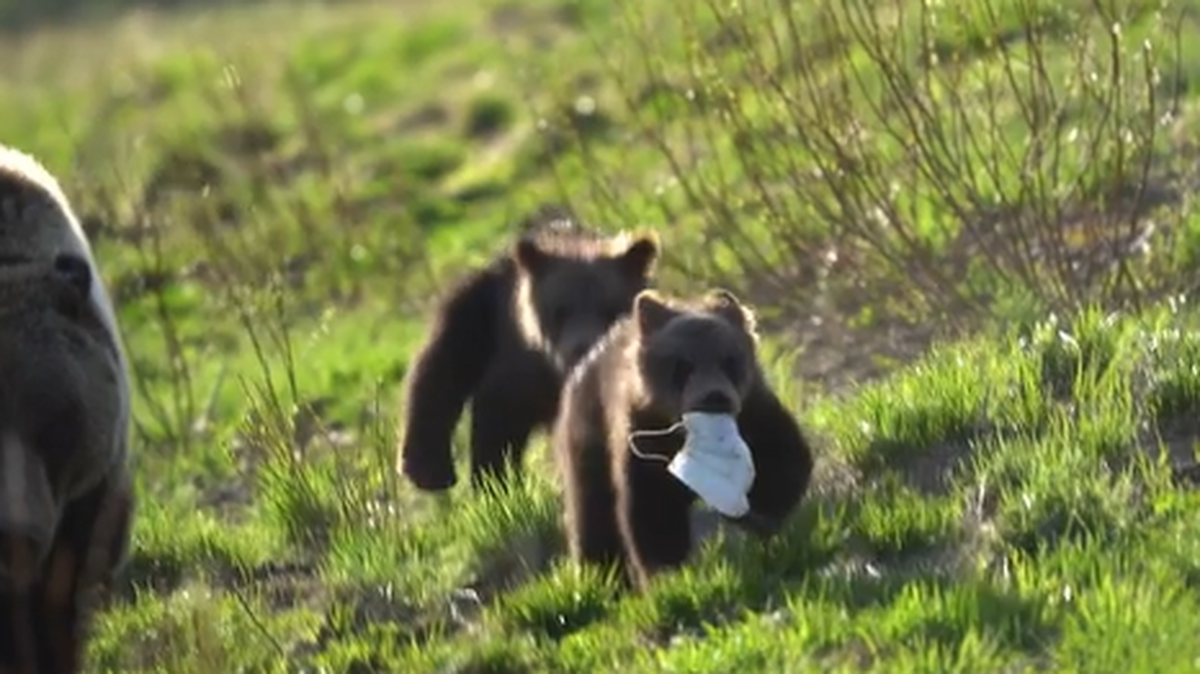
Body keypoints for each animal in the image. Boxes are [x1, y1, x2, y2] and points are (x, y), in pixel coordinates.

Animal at [397, 205, 660, 493]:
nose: (581, 347)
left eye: (610, 308)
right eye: (560, 310)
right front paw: (494, 484)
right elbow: (498, 420)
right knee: (440, 368)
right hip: (477, 311)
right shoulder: (522, 367)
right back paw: (429, 470)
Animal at [551, 288, 814, 591]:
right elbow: (652, 509)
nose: (714, 397)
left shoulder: (755, 413)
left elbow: (785, 462)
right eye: (682, 365)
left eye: (729, 360)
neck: (687, 435)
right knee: (592, 513)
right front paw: (665, 575)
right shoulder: (640, 436)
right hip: (589, 436)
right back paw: (603, 577)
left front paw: (757, 515)